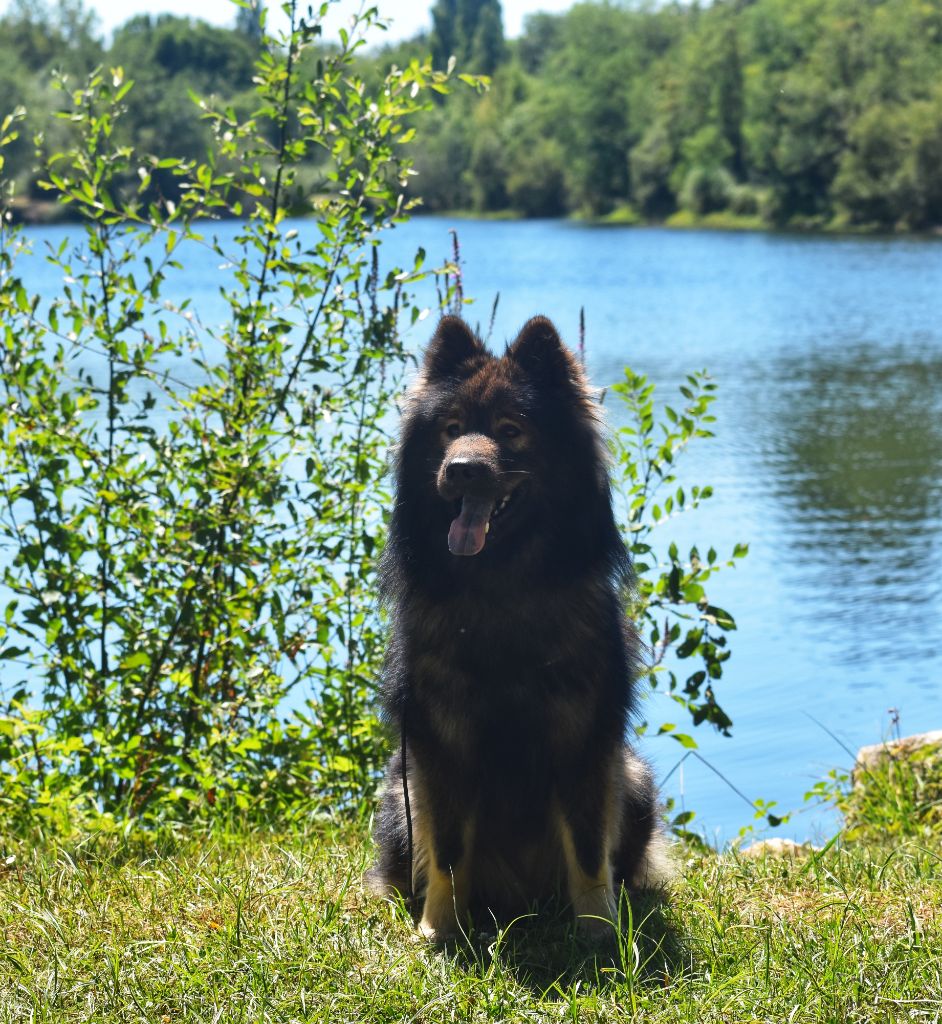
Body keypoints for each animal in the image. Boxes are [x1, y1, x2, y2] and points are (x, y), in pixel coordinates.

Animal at [364, 315, 667, 937]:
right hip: (397, 794)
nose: (460, 471)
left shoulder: (582, 735)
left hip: (635, 777)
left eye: (510, 430)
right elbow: (448, 848)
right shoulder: (442, 742)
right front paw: (439, 929)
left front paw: (598, 930)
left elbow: (587, 847)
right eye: (452, 428)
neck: (499, 585)